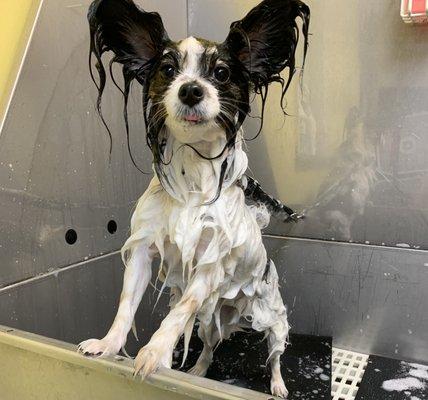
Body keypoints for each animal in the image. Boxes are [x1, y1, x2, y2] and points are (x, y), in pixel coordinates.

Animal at [77, 0, 308, 396]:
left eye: (222, 73)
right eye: (168, 70)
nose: (190, 90)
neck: (192, 172)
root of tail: (239, 311)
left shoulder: (209, 266)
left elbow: (176, 313)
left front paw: (154, 353)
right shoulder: (143, 252)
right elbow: (126, 306)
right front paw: (108, 345)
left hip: (274, 324)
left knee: (275, 357)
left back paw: (277, 385)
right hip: (211, 321)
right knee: (211, 347)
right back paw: (197, 372)